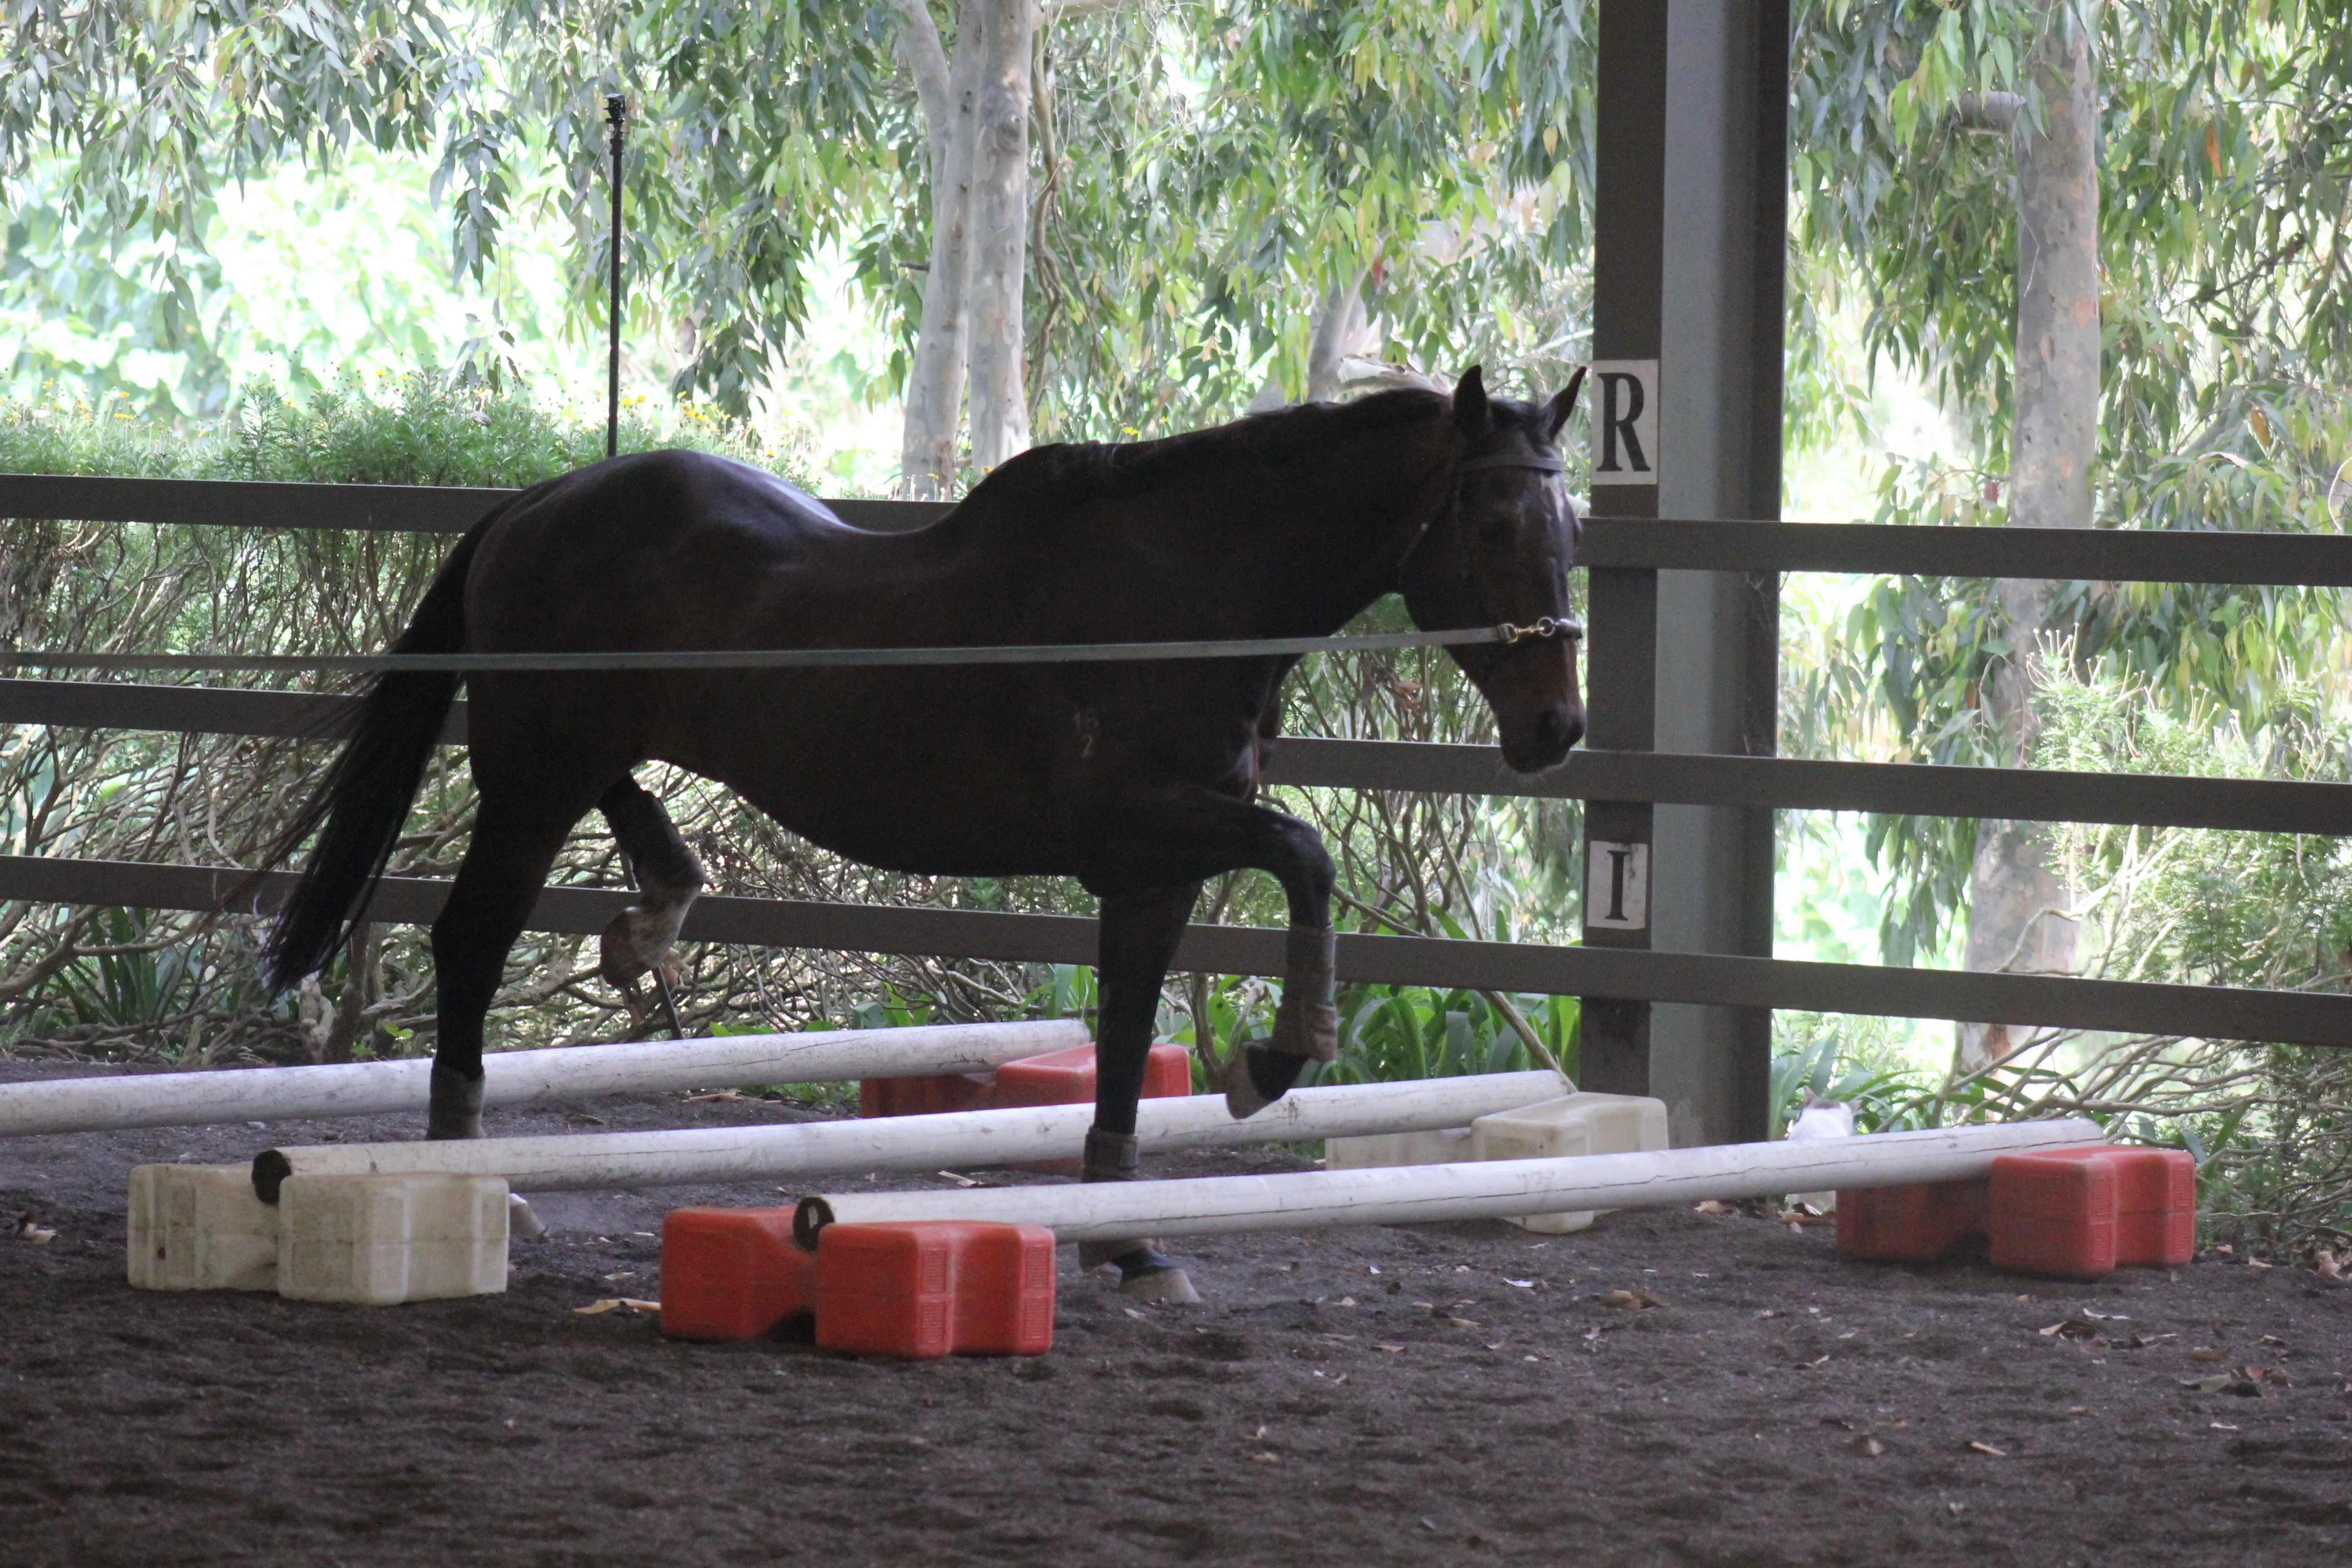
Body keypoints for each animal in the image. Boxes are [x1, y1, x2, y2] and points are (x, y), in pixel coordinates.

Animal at [253, 369, 1580, 1298]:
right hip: (532, 775)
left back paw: (657, 907)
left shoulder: (1152, 868)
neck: (1190, 595)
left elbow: (1125, 1032)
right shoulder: (1144, 825)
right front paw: (1278, 1057)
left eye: (1568, 522)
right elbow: (1308, 851)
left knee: (611, 823)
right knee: (471, 942)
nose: (1555, 727)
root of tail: (535, 503)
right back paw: (478, 1176)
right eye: (1494, 527)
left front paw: (1128, 1242)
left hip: (576, 749)